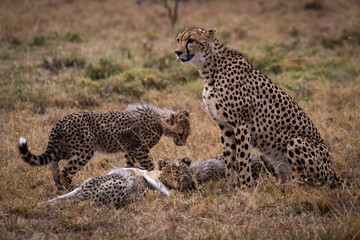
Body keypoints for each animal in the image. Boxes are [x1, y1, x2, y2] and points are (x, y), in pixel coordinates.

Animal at [18, 104, 191, 190]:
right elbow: (149, 165)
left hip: (65, 149)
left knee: (53, 162)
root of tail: (62, 119)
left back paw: (59, 185)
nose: (182, 143)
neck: (161, 120)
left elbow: (128, 165)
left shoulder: (128, 149)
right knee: (65, 170)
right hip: (85, 150)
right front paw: (154, 176)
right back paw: (70, 187)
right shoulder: (139, 150)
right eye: (181, 134)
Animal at [176, 27, 348, 189]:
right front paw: (231, 187)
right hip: (266, 153)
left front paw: (245, 187)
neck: (209, 69)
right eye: (178, 39)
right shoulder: (225, 126)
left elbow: (242, 158)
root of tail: (333, 171)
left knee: (306, 182)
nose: (177, 52)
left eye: (191, 40)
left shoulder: (241, 123)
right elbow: (229, 158)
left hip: (297, 142)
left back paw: (289, 188)